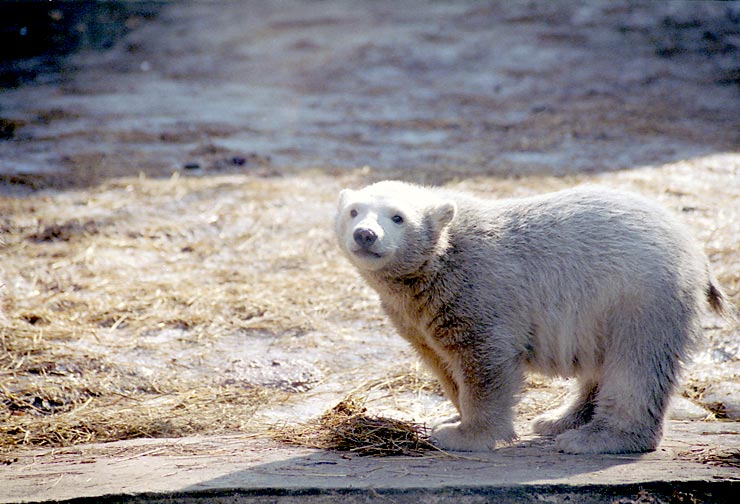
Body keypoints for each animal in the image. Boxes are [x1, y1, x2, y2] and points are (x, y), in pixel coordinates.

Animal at [336, 180, 728, 452]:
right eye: (354, 211)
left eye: (398, 217)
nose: (366, 234)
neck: (440, 259)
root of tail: (697, 251)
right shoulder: (418, 315)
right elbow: (443, 364)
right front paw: (451, 416)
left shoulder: (479, 288)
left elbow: (484, 362)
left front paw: (464, 435)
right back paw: (559, 421)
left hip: (640, 295)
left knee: (636, 364)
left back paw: (595, 439)